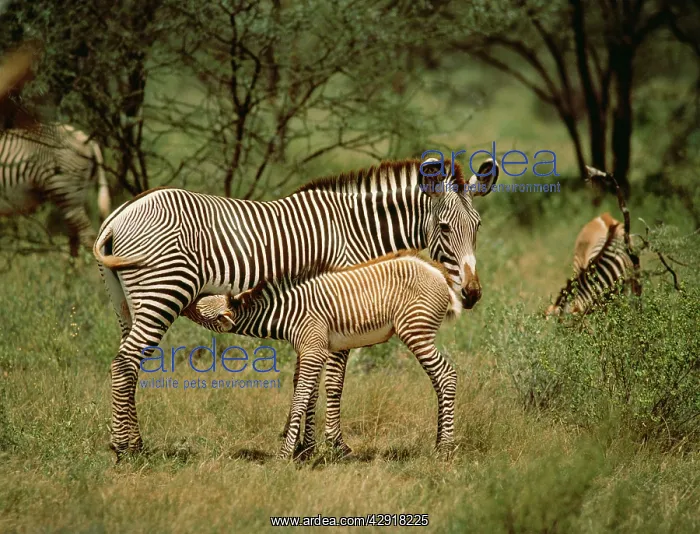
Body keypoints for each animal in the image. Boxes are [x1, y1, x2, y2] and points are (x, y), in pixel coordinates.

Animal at [190, 250, 462, 459]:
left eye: (199, 311)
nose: (184, 303)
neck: (287, 311)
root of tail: (437, 271)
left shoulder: (312, 350)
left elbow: (300, 398)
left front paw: (285, 453)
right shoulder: (312, 350)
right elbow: (309, 396)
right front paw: (306, 450)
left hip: (416, 332)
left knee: (446, 375)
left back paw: (446, 448)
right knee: (439, 380)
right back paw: (439, 442)